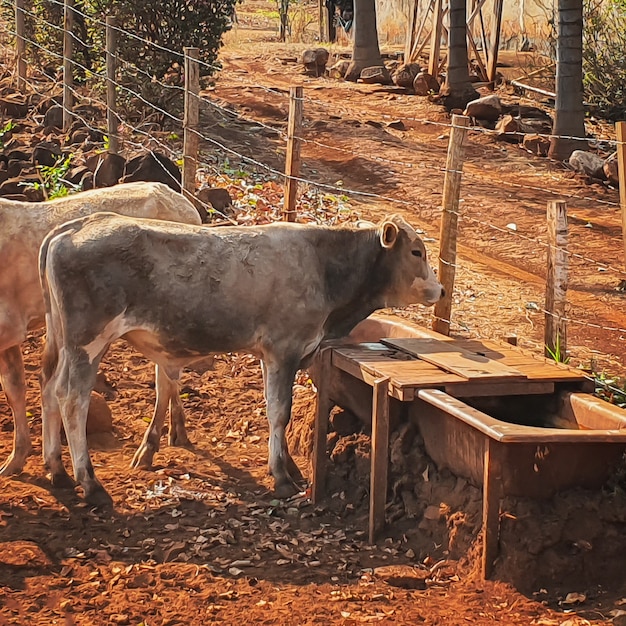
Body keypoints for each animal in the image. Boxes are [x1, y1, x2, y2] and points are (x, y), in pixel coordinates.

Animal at [0, 180, 200, 472]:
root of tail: (178, 200)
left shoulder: (9, 328)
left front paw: (16, 459)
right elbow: (15, 388)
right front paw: (18, 458)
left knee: (163, 381)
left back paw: (149, 449)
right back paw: (178, 431)